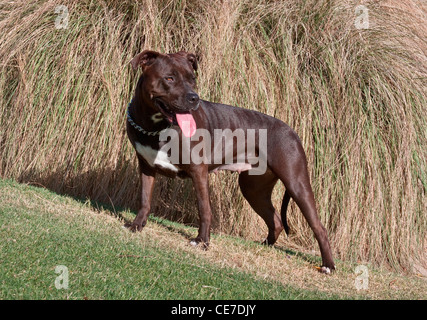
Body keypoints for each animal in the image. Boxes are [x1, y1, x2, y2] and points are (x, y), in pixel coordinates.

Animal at [125, 49, 336, 272]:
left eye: (192, 79)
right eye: (169, 78)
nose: (194, 98)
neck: (155, 126)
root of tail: (292, 131)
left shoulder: (198, 171)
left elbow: (204, 208)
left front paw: (202, 241)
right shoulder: (146, 166)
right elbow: (145, 199)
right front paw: (137, 225)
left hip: (297, 183)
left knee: (319, 227)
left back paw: (328, 265)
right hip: (253, 189)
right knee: (276, 221)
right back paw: (264, 246)